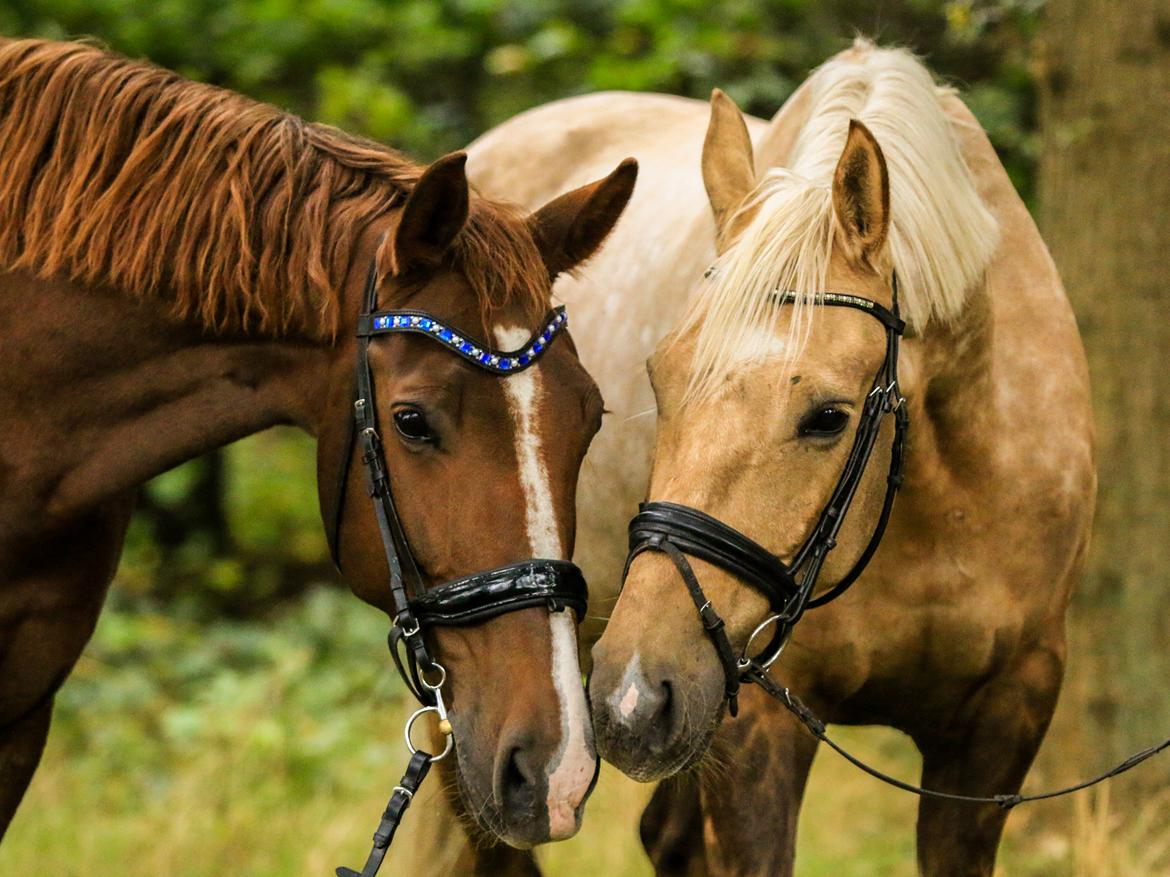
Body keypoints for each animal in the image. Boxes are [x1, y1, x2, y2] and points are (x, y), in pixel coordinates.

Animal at [470, 42, 1090, 877]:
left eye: (828, 417)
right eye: (659, 380)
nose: (631, 695)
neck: (934, 505)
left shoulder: (1003, 718)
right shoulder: (756, 722)